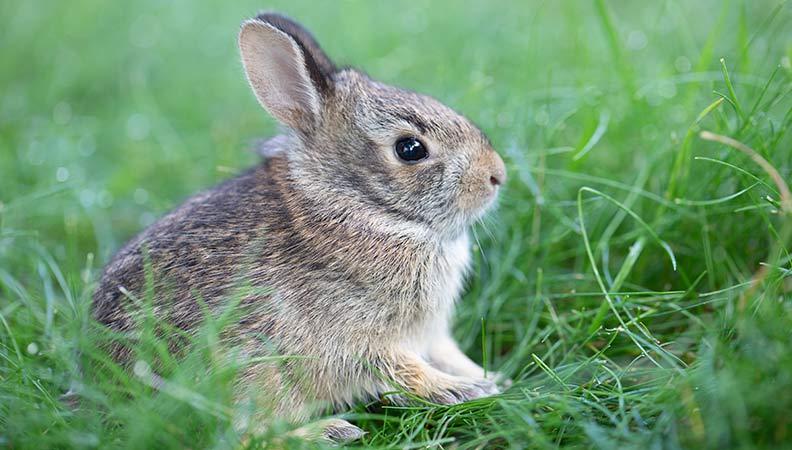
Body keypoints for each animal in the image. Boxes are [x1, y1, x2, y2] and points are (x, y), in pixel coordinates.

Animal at [93, 12, 507, 442]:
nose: (497, 175)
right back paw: (328, 433)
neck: (357, 204)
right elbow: (402, 368)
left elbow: (448, 354)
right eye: (410, 149)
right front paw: (460, 389)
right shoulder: (355, 336)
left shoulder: (432, 334)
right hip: (250, 372)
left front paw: (491, 378)